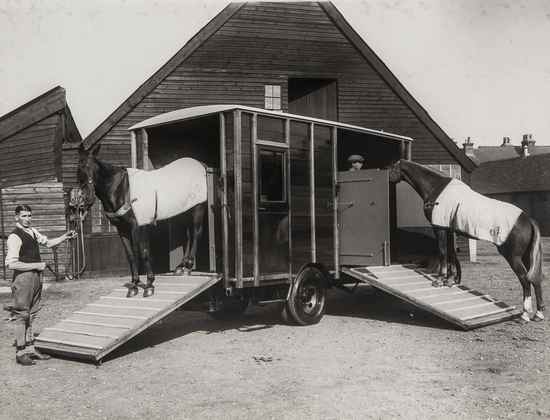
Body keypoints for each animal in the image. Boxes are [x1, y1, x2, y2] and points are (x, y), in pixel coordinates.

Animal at [75, 144, 209, 298]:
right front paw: (134, 286)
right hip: (184, 211)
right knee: (187, 236)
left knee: (196, 233)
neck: (122, 189)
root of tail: (201, 164)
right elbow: (131, 255)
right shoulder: (122, 229)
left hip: (198, 208)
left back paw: (189, 265)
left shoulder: (138, 226)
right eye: (79, 168)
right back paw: (181, 266)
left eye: (93, 167)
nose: (87, 198)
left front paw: (149, 285)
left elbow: (143, 252)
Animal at [390, 158, 544, 322]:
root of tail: (527, 220)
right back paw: (538, 314)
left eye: (392, 167)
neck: (436, 188)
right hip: (526, 256)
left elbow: (443, 252)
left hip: (513, 256)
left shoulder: (440, 228)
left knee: (525, 279)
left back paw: (525, 314)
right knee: (535, 279)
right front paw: (450, 280)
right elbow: (451, 254)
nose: (388, 179)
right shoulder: (449, 230)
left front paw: (439, 280)